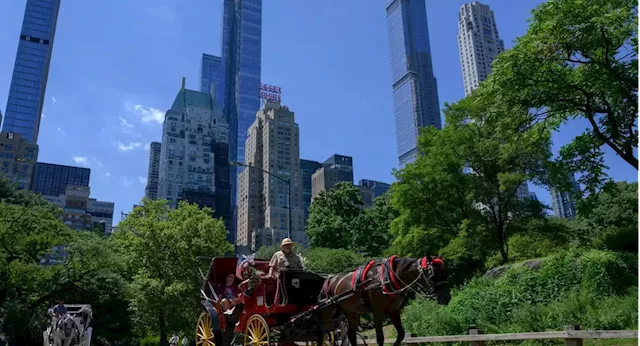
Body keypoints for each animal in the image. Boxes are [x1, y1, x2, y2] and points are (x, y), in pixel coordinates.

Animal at [316, 254, 450, 346]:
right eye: (432, 275)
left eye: (445, 272)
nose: (447, 297)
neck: (387, 278)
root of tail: (329, 279)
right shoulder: (377, 312)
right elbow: (380, 337)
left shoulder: (394, 311)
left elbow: (401, 334)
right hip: (328, 311)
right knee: (321, 333)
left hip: (351, 312)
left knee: (351, 336)